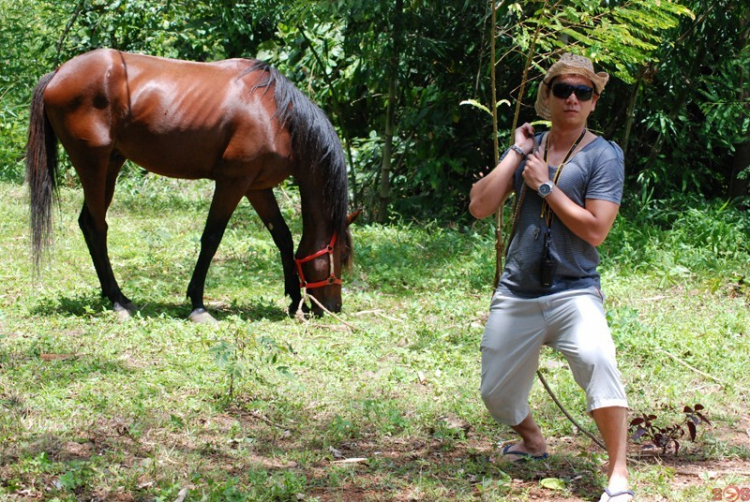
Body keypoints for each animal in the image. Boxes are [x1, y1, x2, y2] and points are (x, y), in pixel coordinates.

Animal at [24, 48, 352, 322]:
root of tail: (58, 74)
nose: (333, 307)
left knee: (88, 223)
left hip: (110, 166)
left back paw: (114, 295)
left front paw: (294, 300)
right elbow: (211, 239)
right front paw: (197, 304)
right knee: (97, 225)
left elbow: (282, 237)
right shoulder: (233, 182)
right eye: (339, 257)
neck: (277, 114)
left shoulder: (256, 187)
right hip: (93, 163)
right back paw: (117, 301)